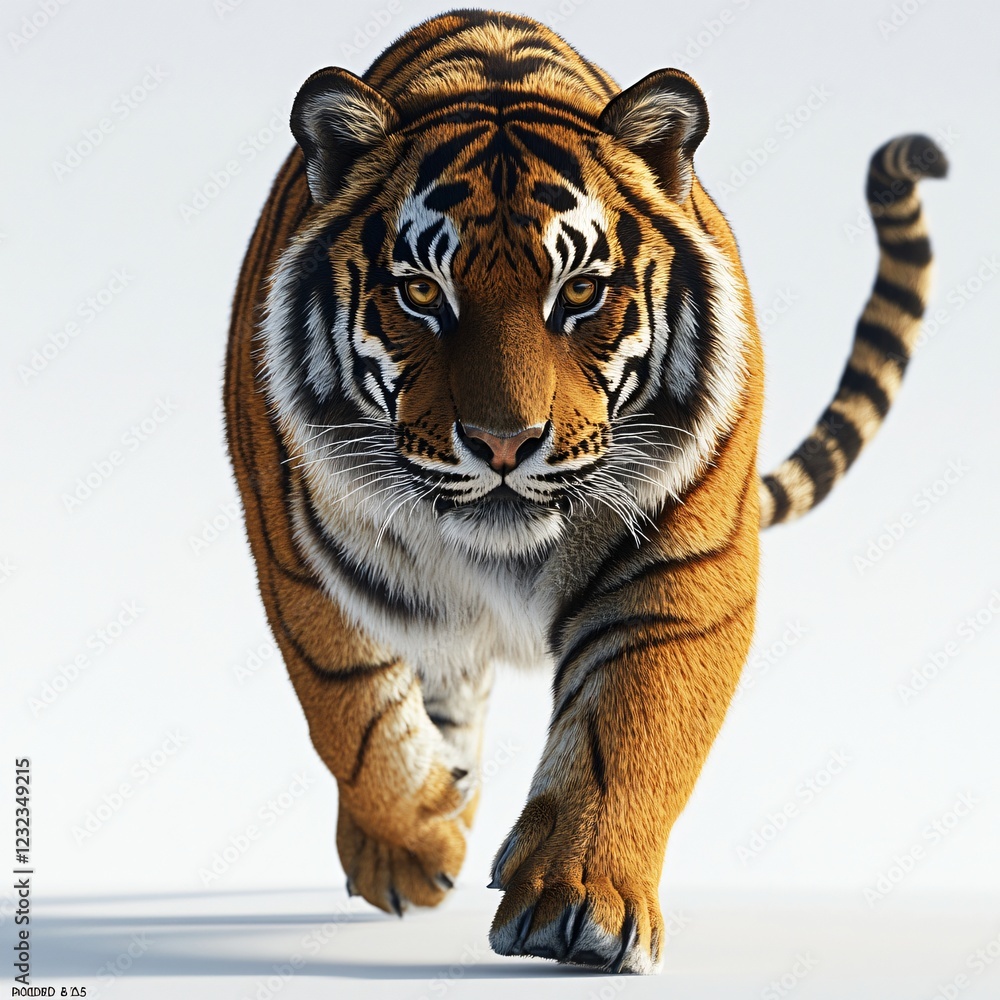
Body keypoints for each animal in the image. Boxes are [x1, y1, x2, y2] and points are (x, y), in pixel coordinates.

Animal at [224, 9, 947, 975]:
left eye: (580, 292)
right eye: (420, 293)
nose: (502, 442)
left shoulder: (677, 569)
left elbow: (628, 731)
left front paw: (579, 907)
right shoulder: (301, 564)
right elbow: (354, 715)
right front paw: (420, 841)